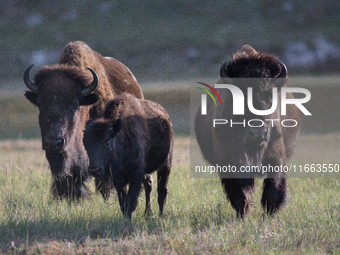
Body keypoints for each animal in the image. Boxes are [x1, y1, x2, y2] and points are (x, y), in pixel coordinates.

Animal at [82, 92, 173, 220]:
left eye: (107, 142)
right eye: (85, 144)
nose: (94, 170)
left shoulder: (136, 174)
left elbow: (131, 199)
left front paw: (129, 220)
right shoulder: (118, 178)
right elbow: (123, 201)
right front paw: (126, 219)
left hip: (166, 164)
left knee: (162, 191)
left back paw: (160, 216)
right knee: (149, 185)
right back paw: (148, 212)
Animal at [194, 44, 300, 218]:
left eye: (270, 96)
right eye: (238, 97)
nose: (257, 132)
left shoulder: (277, 157)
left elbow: (274, 188)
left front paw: (269, 213)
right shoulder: (227, 162)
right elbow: (238, 193)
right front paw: (243, 213)